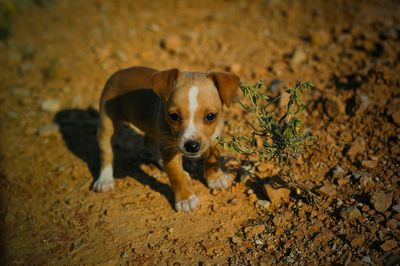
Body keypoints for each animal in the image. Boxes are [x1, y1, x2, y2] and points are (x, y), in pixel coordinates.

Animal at [92, 66, 239, 212]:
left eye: (210, 116)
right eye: (174, 116)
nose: (191, 146)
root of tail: (119, 72)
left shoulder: (213, 139)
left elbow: (212, 158)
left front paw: (215, 178)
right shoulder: (170, 148)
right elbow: (176, 175)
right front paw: (185, 199)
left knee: (150, 143)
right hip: (106, 125)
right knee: (106, 151)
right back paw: (105, 180)